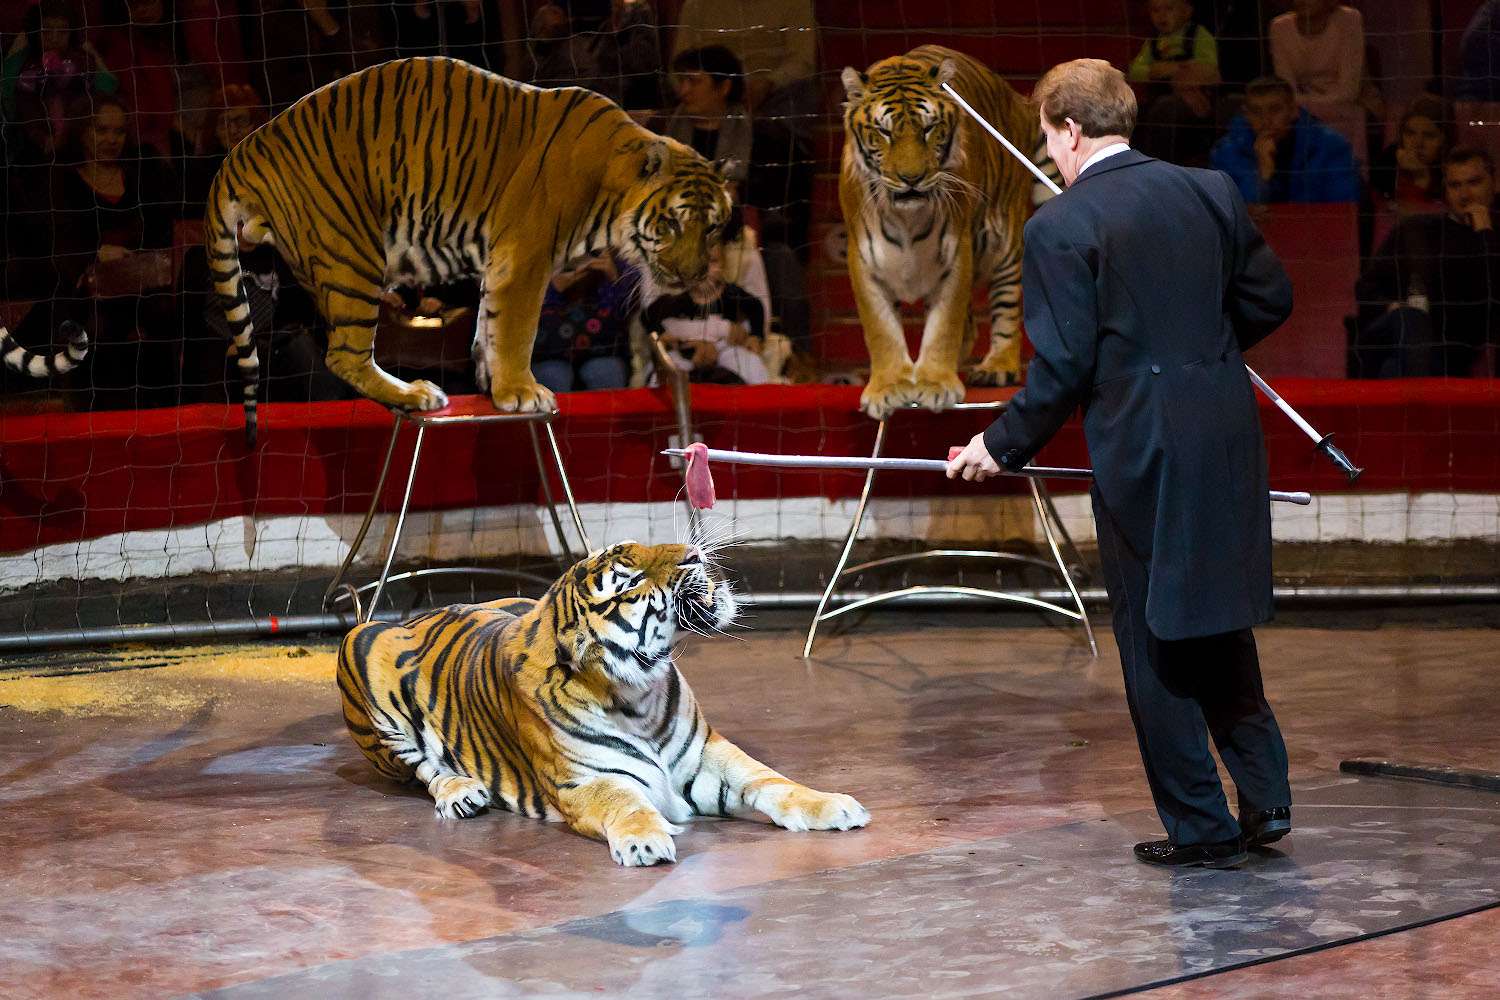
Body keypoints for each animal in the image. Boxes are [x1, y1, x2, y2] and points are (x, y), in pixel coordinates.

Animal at [204, 56, 732, 443]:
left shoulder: (500, 263)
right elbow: (518, 330)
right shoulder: (526, 260)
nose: (692, 276)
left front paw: (489, 377)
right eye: (671, 223)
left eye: (712, 228)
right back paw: (415, 396)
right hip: (354, 254)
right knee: (344, 356)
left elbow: (489, 323)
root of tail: (240, 153)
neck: (611, 185)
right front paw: (521, 391)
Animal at [333, 539, 864, 869]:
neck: (638, 696)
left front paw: (833, 805)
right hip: (363, 654)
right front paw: (644, 840)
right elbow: (625, 802)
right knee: (424, 769)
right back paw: (459, 792)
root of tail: (416, 615)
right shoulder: (586, 783)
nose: (693, 554)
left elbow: (771, 780)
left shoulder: (708, 758)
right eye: (628, 582)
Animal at [840, 41, 1062, 419]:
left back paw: (997, 366)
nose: (911, 179)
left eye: (928, 128)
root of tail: (1014, 97)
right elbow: (880, 329)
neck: (906, 217)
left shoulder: (957, 252)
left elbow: (944, 325)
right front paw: (889, 387)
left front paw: (934, 384)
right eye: (885, 132)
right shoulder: (864, 261)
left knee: (1007, 307)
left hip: (1005, 242)